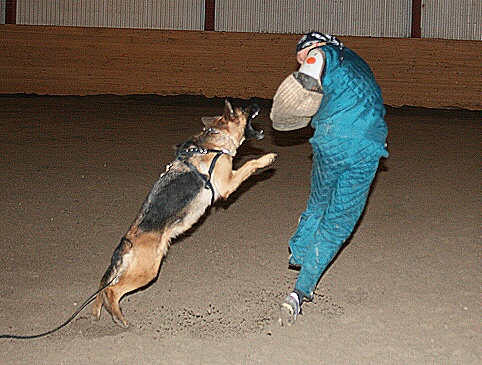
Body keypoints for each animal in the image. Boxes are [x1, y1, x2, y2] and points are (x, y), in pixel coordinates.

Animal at [92, 100, 276, 328]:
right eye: (243, 109)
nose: (257, 103)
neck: (214, 142)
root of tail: (127, 241)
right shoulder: (227, 183)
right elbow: (250, 164)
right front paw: (267, 159)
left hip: (134, 270)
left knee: (104, 288)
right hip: (147, 271)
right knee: (111, 290)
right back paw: (118, 317)